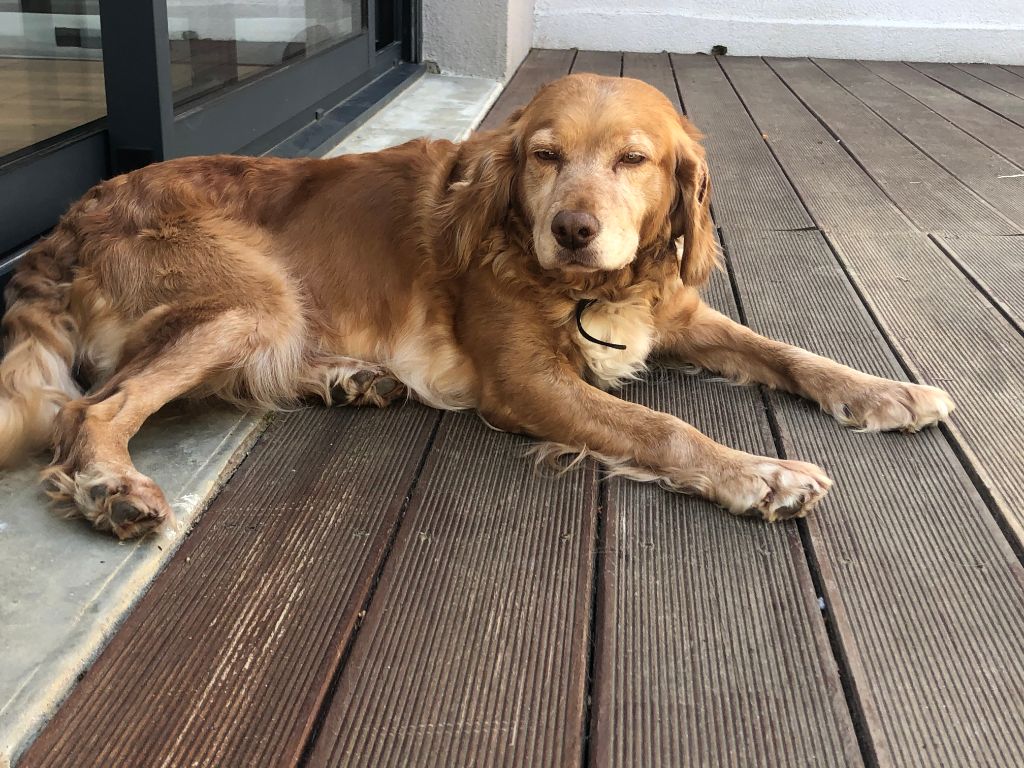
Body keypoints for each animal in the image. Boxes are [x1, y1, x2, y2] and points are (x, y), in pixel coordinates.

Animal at [0, 73, 954, 539]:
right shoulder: (527, 382)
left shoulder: (676, 316)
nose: (573, 230)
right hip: (253, 295)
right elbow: (663, 429)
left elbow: (789, 353)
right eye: (544, 155)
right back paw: (110, 486)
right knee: (93, 408)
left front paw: (887, 390)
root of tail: (74, 212)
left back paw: (350, 378)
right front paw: (759, 473)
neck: (584, 288)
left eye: (633, 160)